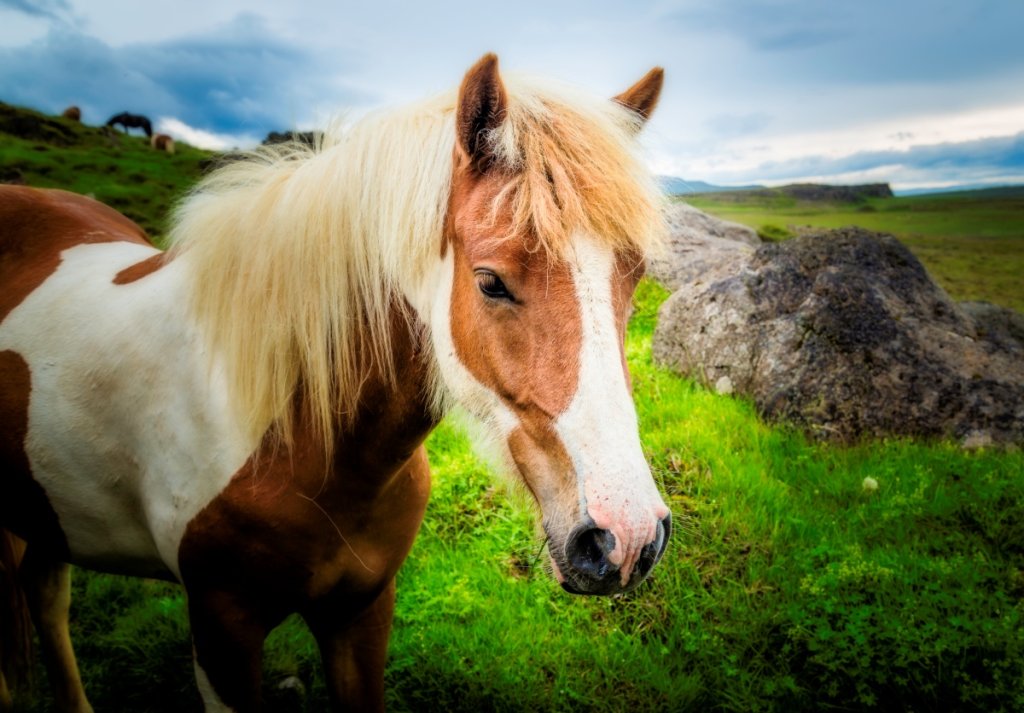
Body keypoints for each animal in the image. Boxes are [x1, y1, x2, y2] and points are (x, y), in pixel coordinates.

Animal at [0, 54, 670, 712]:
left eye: (634, 277)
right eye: (490, 282)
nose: (626, 537)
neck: (294, 440)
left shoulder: (362, 613)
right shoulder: (221, 635)